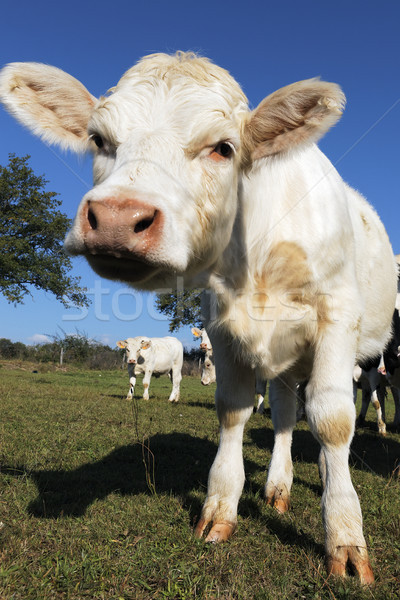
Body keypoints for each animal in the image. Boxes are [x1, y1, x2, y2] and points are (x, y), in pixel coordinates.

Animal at [2, 51, 396, 580]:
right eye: (98, 140)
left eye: (224, 148)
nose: (117, 219)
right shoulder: (223, 332)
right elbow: (233, 411)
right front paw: (219, 510)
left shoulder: (336, 315)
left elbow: (332, 421)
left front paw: (346, 539)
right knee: (285, 415)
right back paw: (278, 486)